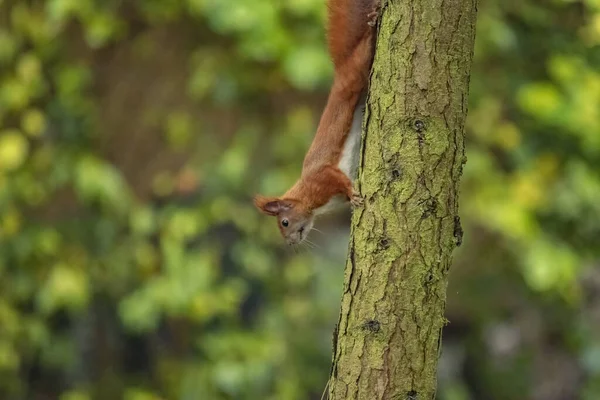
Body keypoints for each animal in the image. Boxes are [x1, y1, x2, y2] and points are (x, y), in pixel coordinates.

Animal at [254, 0, 380, 245]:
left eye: (285, 222)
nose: (291, 243)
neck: (307, 198)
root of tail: (339, 72)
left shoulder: (322, 178)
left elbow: (338, 179)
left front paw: (353, 195)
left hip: (354, 76)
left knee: (362, 51)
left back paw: (373, 22)